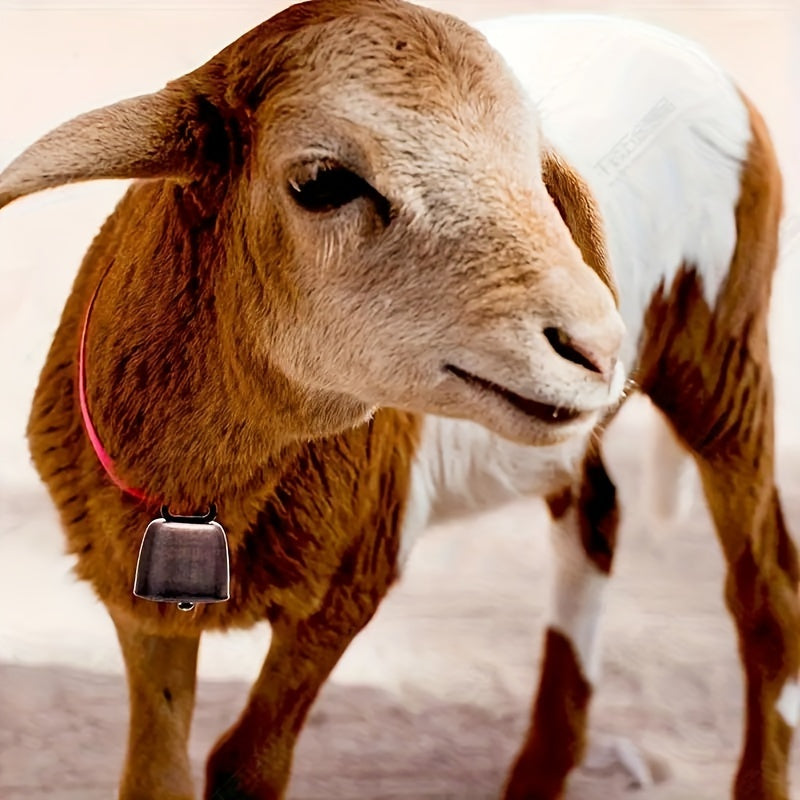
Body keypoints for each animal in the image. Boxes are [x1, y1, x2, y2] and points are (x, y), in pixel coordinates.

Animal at [0, 1, 797, 798]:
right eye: (322, 181)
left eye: (537, 177)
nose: (600, 347)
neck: (201, 492)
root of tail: (677, 46)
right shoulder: (139, 607)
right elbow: (155, 772)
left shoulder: (350, 583)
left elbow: (244, 764)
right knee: (595, 515)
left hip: (723, 357)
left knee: (767, 588)